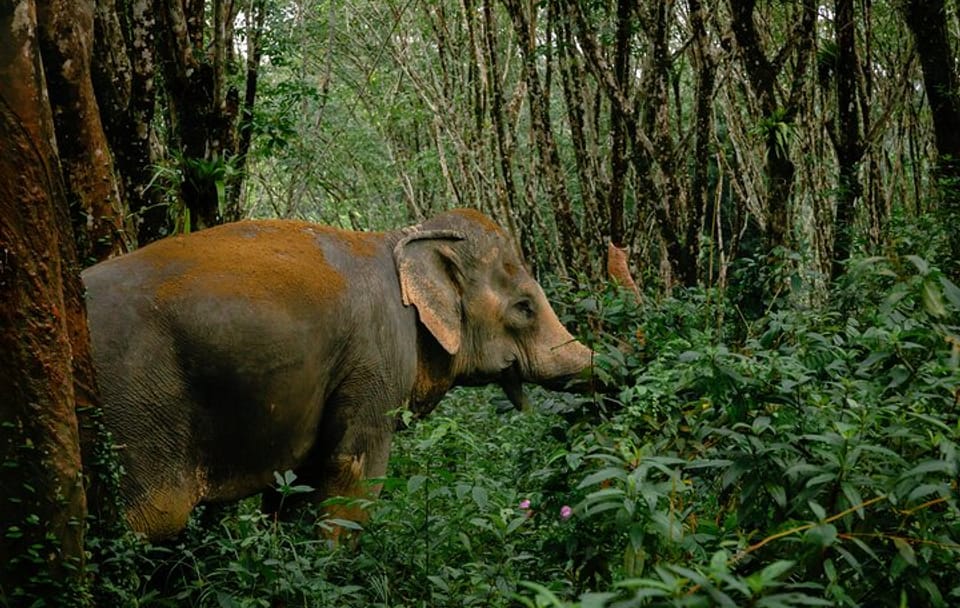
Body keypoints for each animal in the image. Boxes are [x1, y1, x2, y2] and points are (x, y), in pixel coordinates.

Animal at [82, 208, 593, 540]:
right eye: (524, 308)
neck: (401, 238)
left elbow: (296, 484)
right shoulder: (377, 358)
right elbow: (354, 473)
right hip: (137, 403)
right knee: (149, 520)